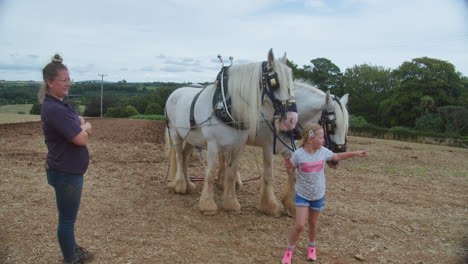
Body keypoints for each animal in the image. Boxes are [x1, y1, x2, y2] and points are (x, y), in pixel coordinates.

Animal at [165, 49, 296, 214]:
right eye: (275, 82)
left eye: (291, 80)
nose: (292, 119)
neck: (226, 106)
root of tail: (174, 92)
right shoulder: (213, 145)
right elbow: (210, 173)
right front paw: (207, 205)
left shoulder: (238, 145)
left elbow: (232, 173)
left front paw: (231, 203)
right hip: (175, 133)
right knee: (178, 156)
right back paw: (180, 186)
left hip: (191, 138)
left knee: (185, 155)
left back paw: (188, 185)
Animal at [218, 80, 348, 217]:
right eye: (332, 125)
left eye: (346, 126)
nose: (336, 159)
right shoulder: (268, 148)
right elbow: (269, 175)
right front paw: (269, 206)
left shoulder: (289, 150)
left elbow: (294, 175)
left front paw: (290, 205)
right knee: (226, 160)